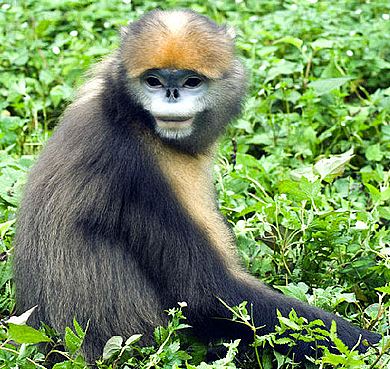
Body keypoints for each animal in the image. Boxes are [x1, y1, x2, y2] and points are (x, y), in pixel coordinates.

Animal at [12, 7, 380, 362]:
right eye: (153, 81)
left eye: (191, 82)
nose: (172, 94)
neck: (125, 112)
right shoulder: (139, 168)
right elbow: (208, 294)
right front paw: (376, 345)